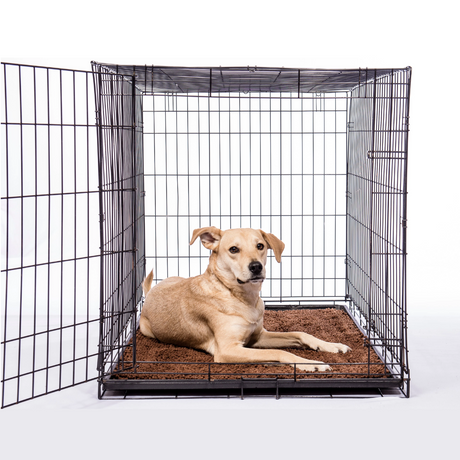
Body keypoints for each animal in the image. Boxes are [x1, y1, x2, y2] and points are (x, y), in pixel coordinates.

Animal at [138, 226, 350, 374]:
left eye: (260, 246)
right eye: (233, 249)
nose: (256, 267)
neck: (241, 297)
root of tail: (149, 293)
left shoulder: (258, 336)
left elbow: (300, 333)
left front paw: (332, 346)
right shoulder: (227, 350)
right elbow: (279, 352)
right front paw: (312, 363)